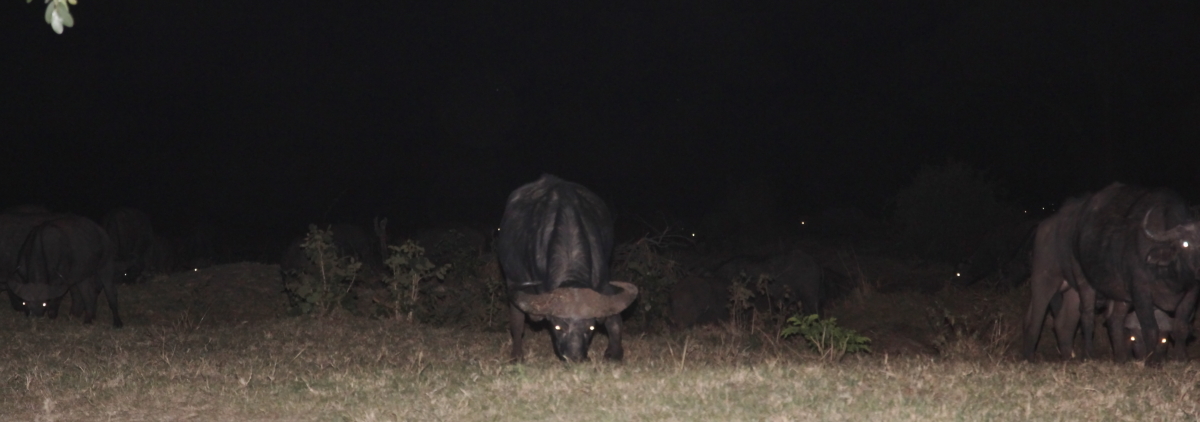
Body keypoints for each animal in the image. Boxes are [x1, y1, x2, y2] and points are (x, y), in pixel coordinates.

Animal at [494, 175, 638, 362]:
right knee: (517, 321)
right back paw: (517, 355)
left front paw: (614, 353)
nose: (574, 357)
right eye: (558, 327)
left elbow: (614, 321)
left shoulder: (603, 283)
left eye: (590, 328)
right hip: (512, 280)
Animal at [1022, 183, 1200, 364]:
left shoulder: (1191, 292)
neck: (1167, 274)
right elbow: (1150, 328)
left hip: (1084, 292)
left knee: (1071, 323)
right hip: (1052, 279)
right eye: (1185, 244)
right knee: (1061, 317)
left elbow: (1181, 326)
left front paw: (1181, 357)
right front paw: (1151, 361)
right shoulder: (1140, 291)